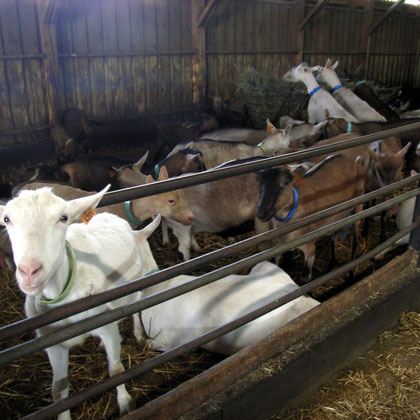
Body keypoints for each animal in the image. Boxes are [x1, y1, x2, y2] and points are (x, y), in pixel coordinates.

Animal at [0, 187, 150, 420]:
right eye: (7, 219)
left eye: (63, 217)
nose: (29, 271)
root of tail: (107, 214)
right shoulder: (52, 342)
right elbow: (59, 392)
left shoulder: (105, 323)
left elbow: (116, 369)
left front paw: (125, 403)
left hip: (133, 283)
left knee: (135, 305)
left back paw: (139, 333)